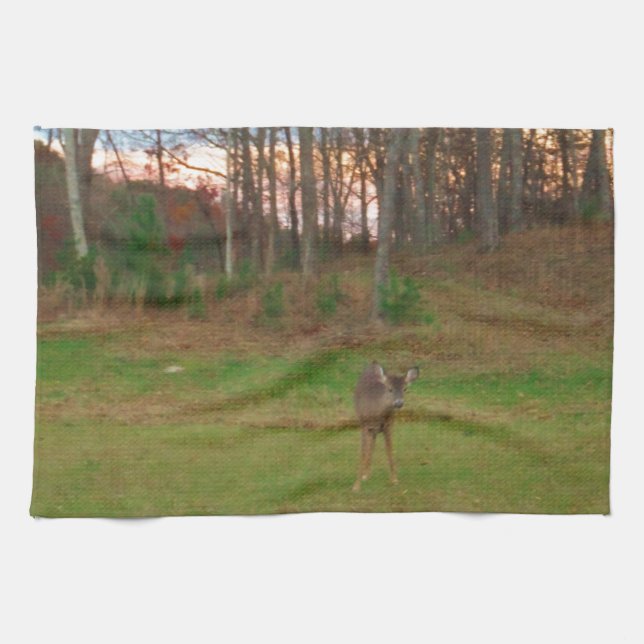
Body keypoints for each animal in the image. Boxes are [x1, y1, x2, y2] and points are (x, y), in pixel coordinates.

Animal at [352, 362, 419, 492]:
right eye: (390, 389)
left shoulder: (388, 426)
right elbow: (362, 453)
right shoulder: (364, 424)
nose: (398, 403)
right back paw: (365, 475)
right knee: (370, 443)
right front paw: (356, 486)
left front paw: (394, 480)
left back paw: (366, 473)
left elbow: (390, 451)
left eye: (405, 388)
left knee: (373, 442)